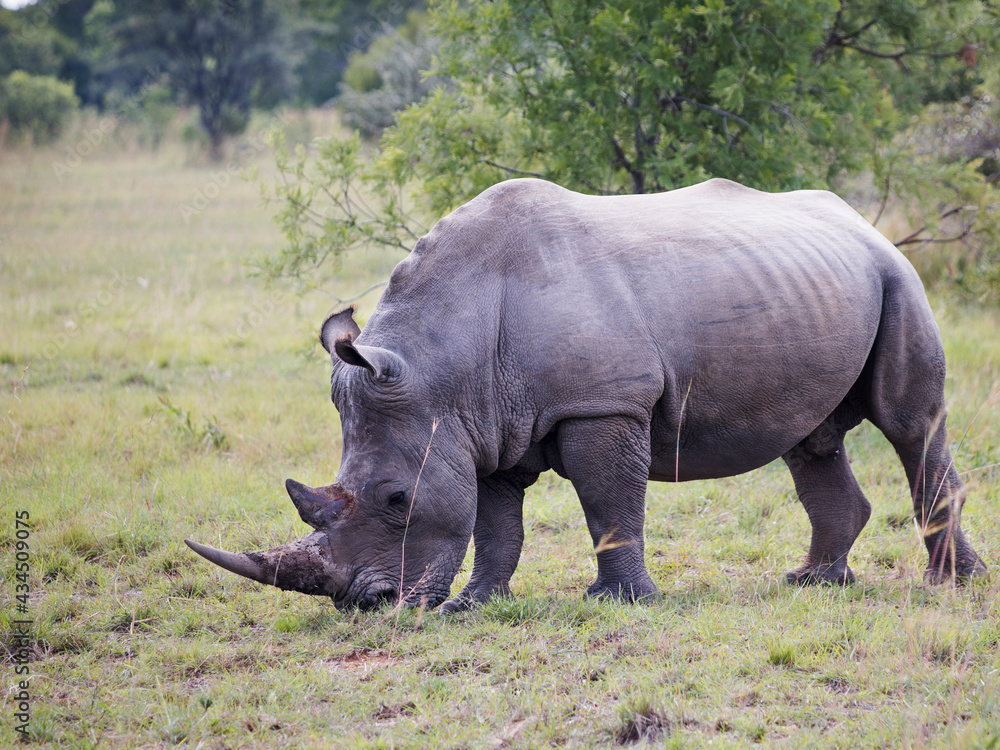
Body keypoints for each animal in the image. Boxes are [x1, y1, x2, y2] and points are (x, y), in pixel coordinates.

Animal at [186, 178, 986, 612]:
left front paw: (619, 603)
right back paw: (813, 583)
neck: (443, 363)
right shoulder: (485, 426)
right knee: (811, 440)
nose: (368, 605)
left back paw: (952, 586)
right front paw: (475, 605)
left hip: (897, 277)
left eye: (395, 500)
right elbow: (496, 524)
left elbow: (609, 502)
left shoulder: (604, 404)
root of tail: (858, 220)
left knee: (911, 426)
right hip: (815, 286)